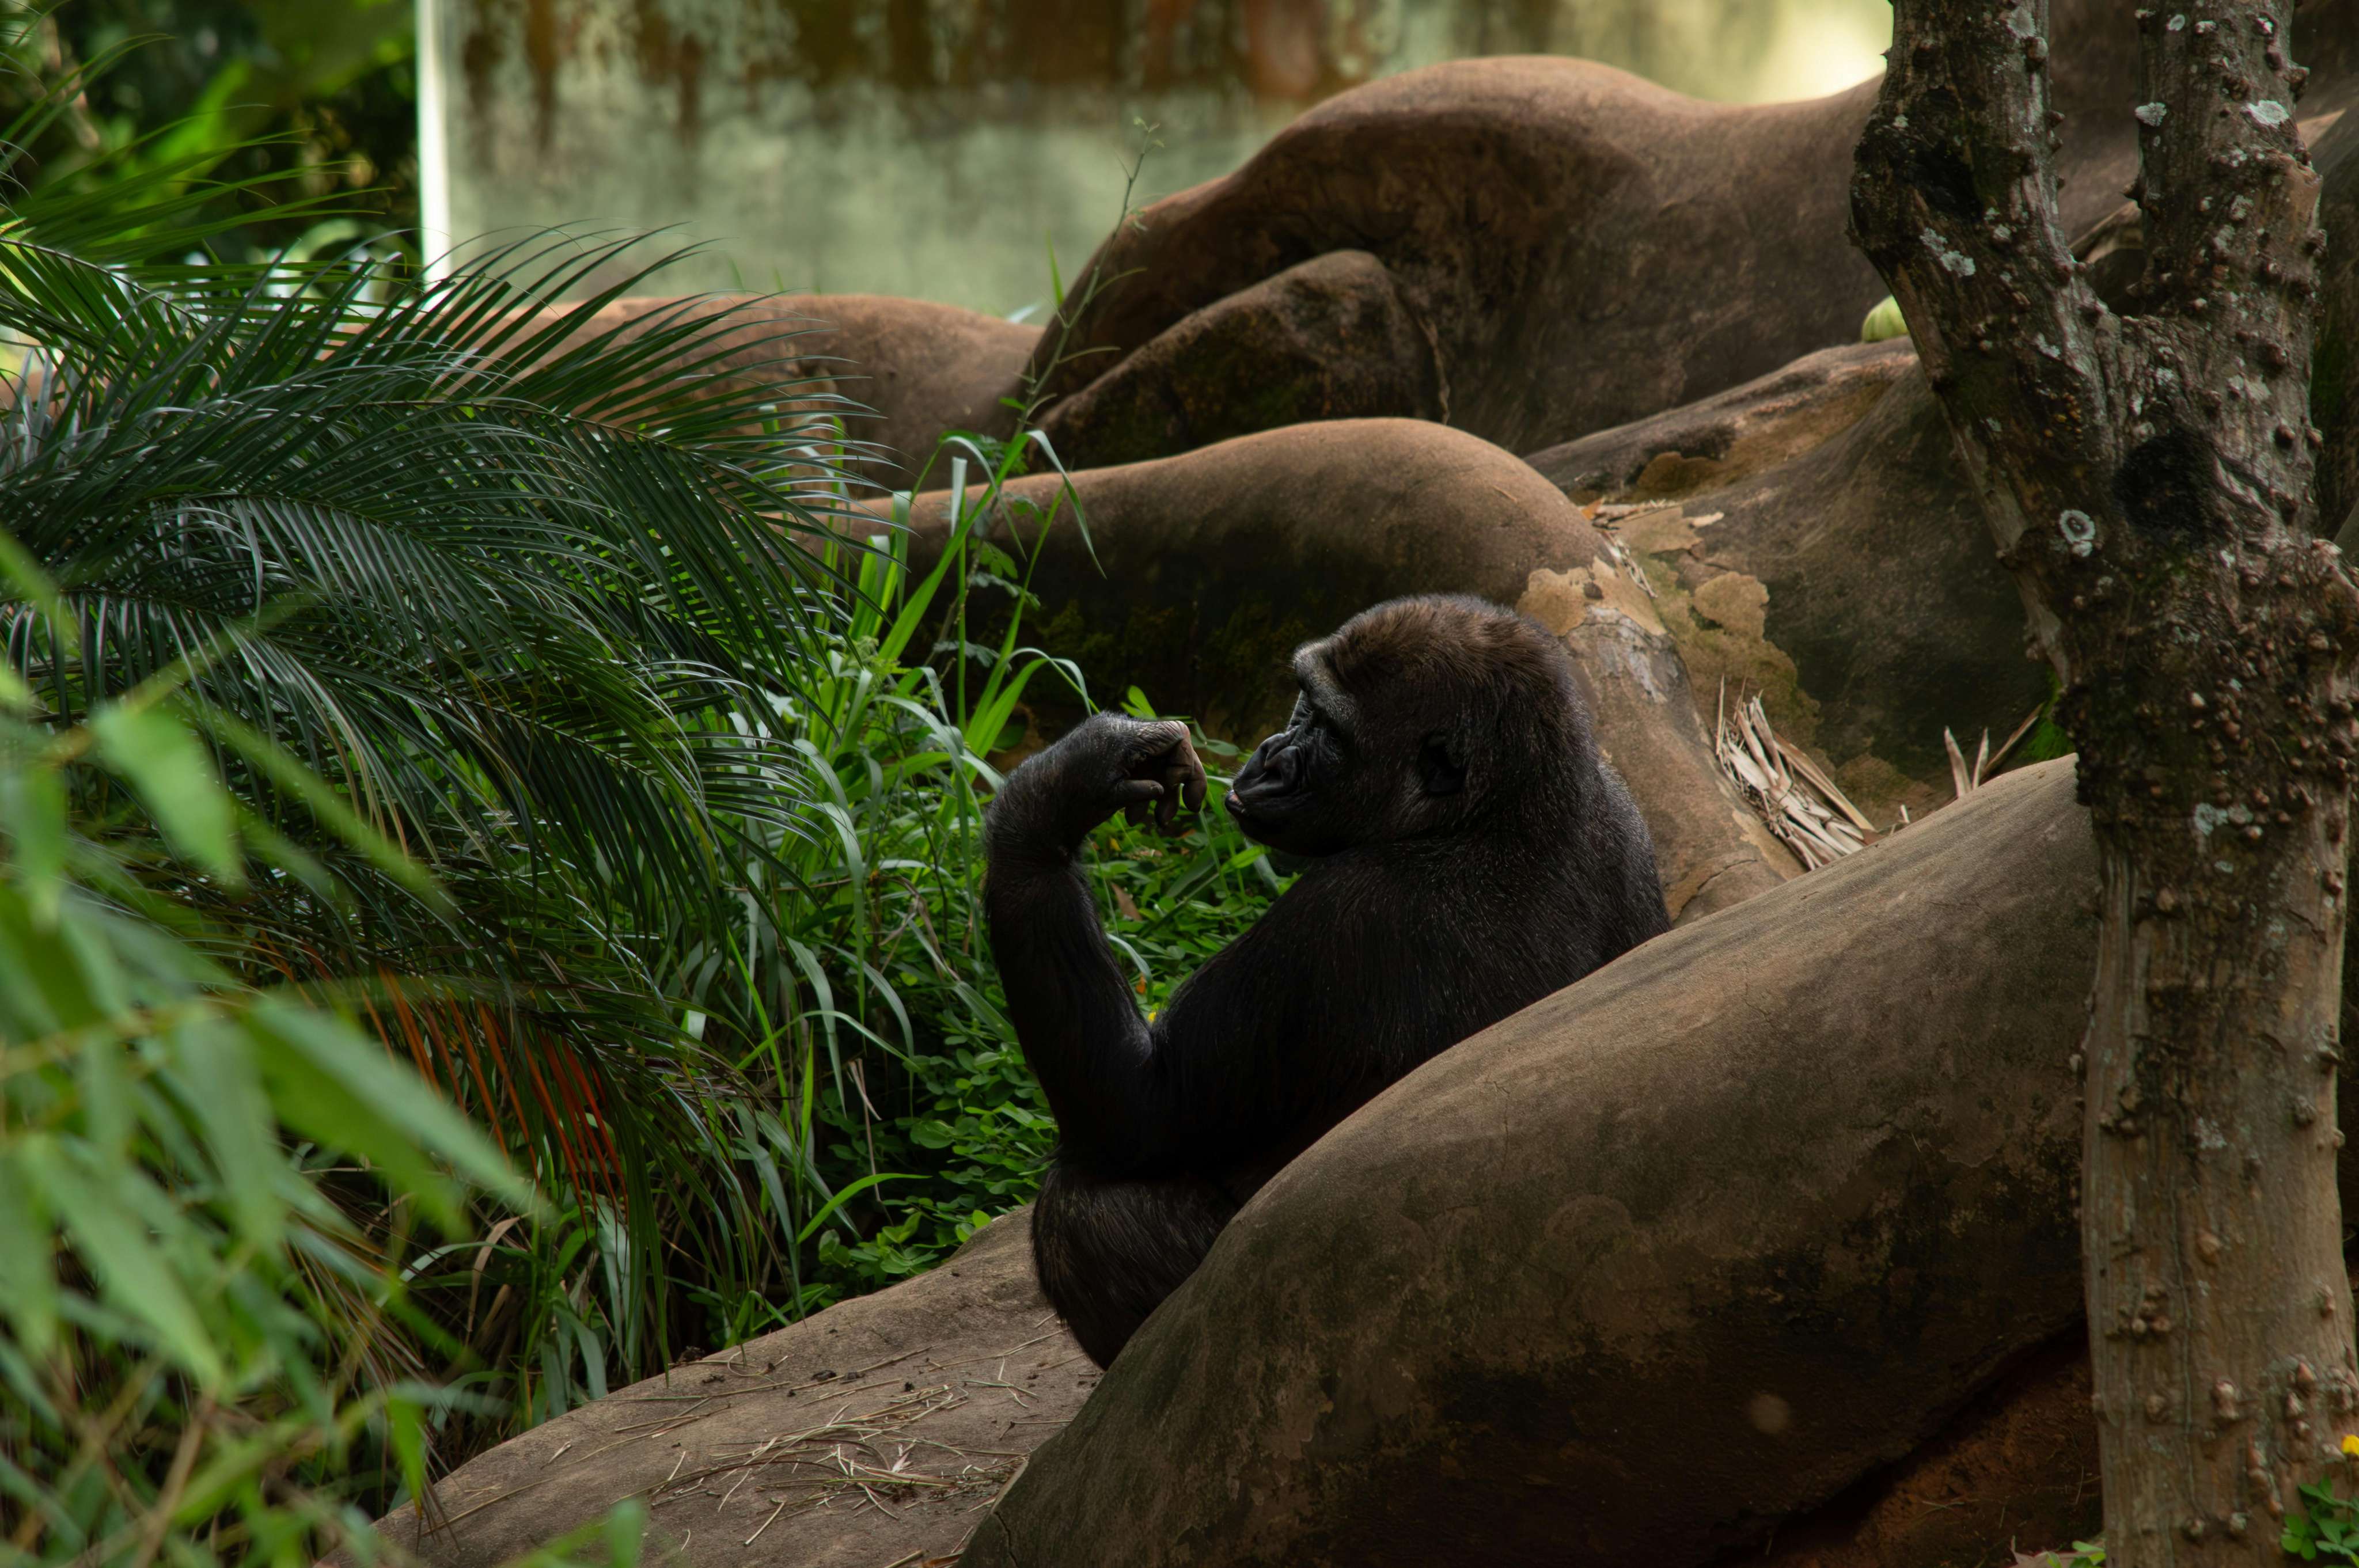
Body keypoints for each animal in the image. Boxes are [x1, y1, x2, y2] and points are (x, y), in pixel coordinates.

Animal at [982, 594, 1668, 1366]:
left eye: (1327, 729)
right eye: (1301, 704)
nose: (1268, 755)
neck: (1492, 812)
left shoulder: (1341, 917)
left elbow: (1136, 1112)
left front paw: (1061, 789)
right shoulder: (1625, 817)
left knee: (1087, 1207)